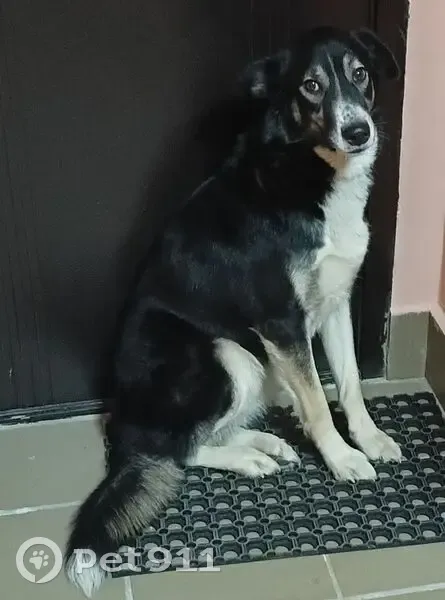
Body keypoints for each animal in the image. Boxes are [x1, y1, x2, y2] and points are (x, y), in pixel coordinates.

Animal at [65, 27, 401, 596]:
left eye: (359, 74)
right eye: (311, 86)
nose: (358, 132)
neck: (307, 169)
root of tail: (122, 420)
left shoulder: (336, 304)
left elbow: (351, 384)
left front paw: (370, 438)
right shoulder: (281, 322)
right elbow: (317, 403)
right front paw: (341, 458)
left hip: (253, 362)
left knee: (196, 434)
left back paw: (265, 442)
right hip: (229, 354)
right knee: (175, 448)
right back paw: (249, 458)